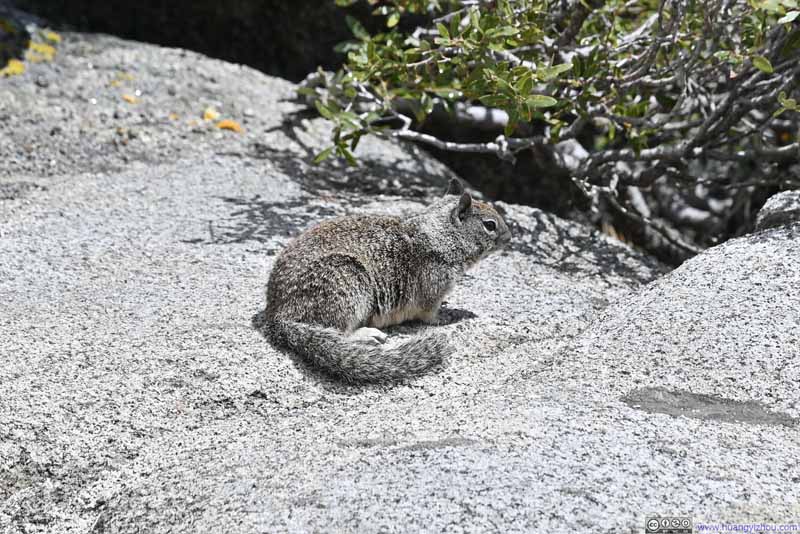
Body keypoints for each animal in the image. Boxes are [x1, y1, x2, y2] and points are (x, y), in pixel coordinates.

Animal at [263, 178, 511, 382]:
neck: (441, 235)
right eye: (490, 225)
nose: (509, 238)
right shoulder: (433, 286)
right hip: (346, 282)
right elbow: (430, 314)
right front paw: (448, 315)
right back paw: (366, 335)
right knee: (337, 329)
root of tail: (279, 315)